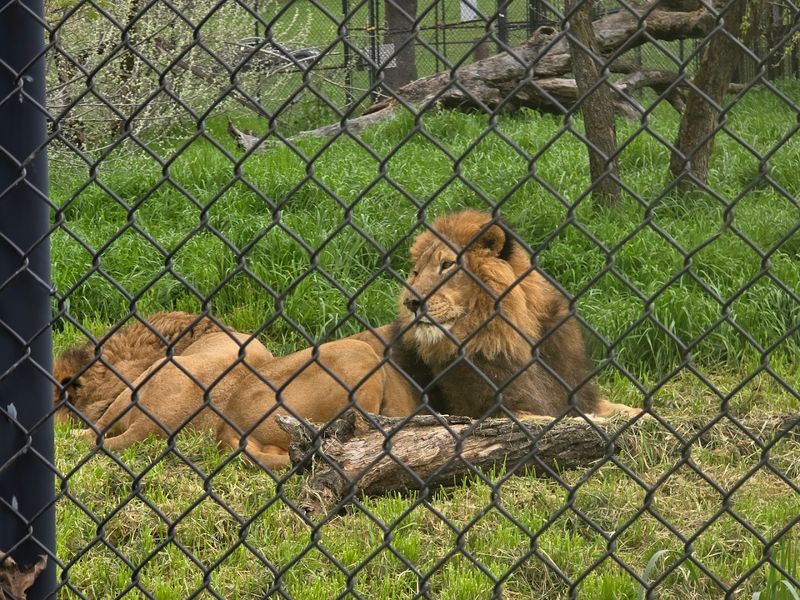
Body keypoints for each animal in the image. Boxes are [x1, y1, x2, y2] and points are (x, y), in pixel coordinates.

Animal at [353, 210, 639, 420]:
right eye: (415, 272)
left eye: (447, 265)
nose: (410, 302)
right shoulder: (497, 411)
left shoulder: (576, 394)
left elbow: (625, 409)